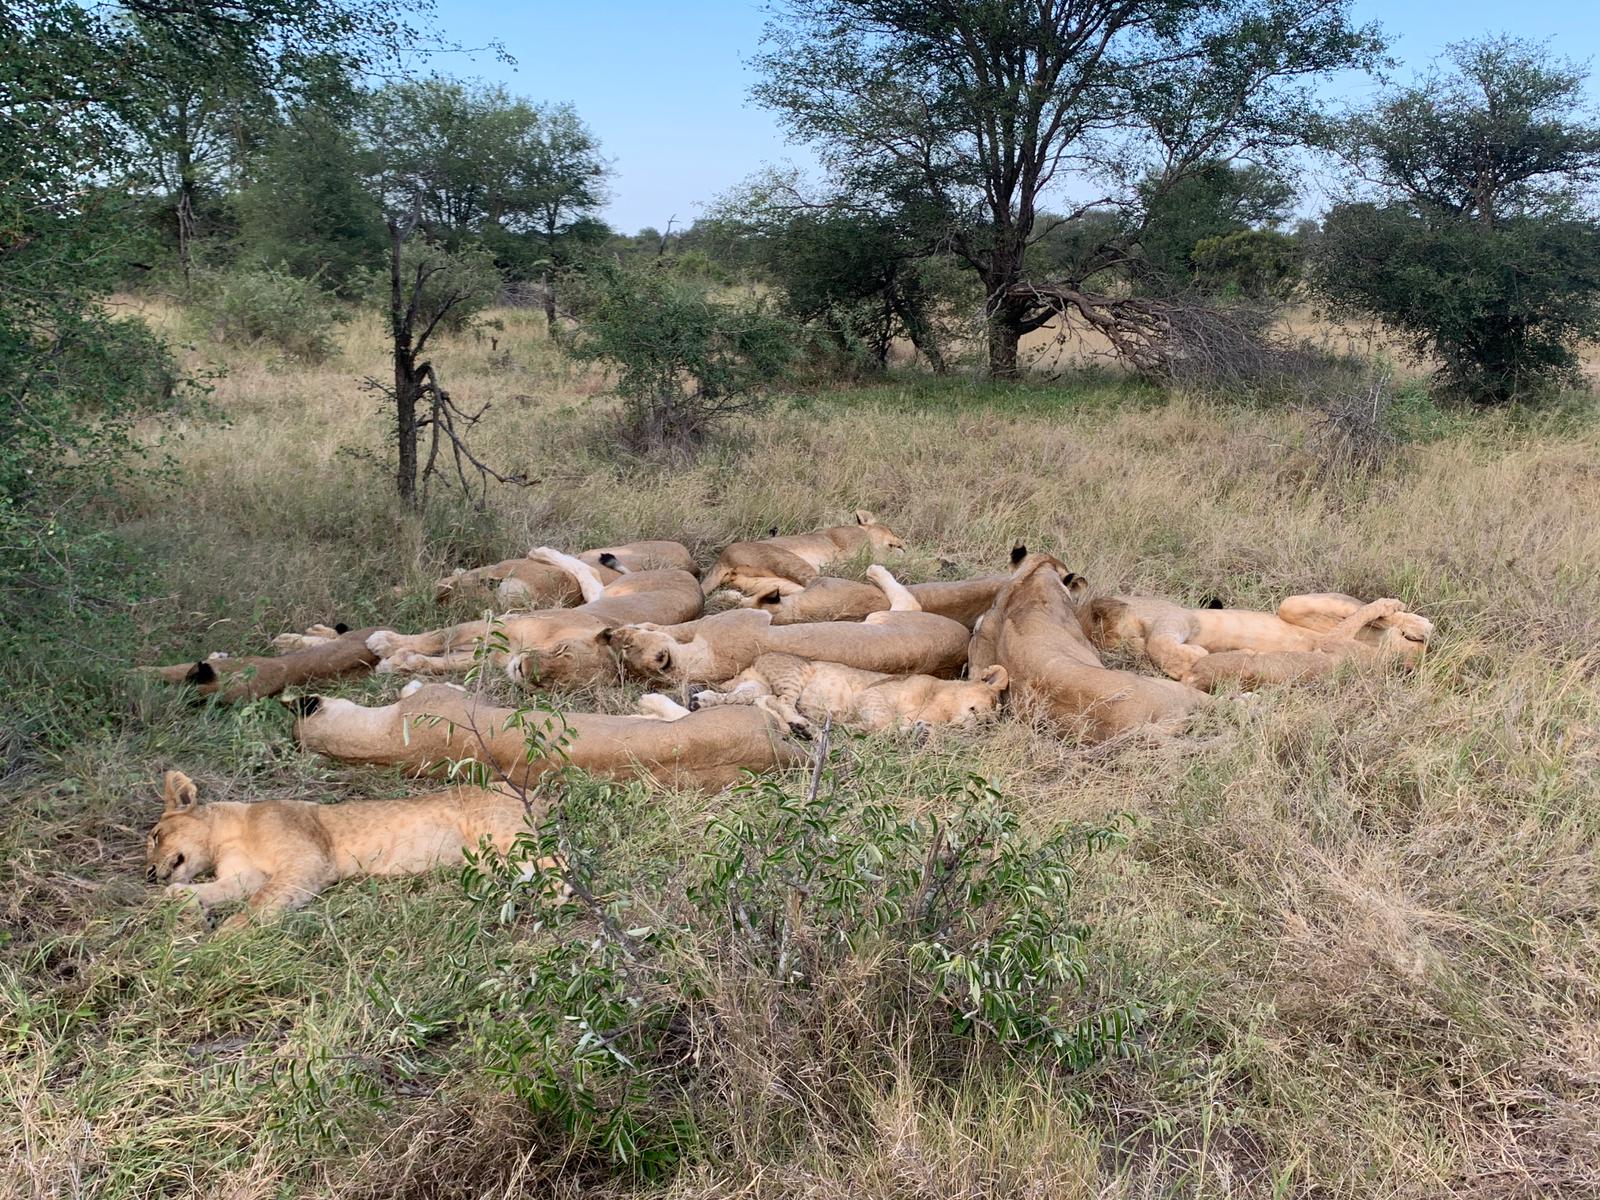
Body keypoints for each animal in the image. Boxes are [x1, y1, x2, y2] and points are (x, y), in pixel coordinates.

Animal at [146, 769, 554, 932]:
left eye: (155, 835)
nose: (149, 873)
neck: (227, 838)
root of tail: (528, 791)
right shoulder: (246, 874)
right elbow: (218, 890)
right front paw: (181, 899)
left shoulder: (308, 861)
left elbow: (258, 903)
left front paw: (225, 936)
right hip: (490, 855)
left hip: (501, 831)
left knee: (554, 858)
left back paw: (556, 894)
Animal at [367, 551, 703, 687]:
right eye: (561, 650)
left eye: (559, 681)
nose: (523, 670)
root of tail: (690, 577)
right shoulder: (498, 625)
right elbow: (437, 636)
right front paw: (384, 642)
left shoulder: (491, 655)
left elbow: (440, 662)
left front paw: (397, 663)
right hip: (615, 589)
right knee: (588, 572)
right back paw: (541, 551)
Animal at [609, 565, 970, 686]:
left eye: (628, 645)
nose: (612, 634)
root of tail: (961, 643)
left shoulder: (727, 623)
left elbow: (682, 625)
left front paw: (642, 622)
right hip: (889, 617)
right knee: (909, 601)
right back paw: (874, 569)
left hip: (888, 617)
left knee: (910, 600)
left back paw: (874, 569)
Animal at [691, 653, 1009, 735]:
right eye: (994, 703)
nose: (988, 723)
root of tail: (753, 663)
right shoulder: (871, 695)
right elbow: (883, 720)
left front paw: (917, 732)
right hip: (795, 673)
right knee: (780, 701)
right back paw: (803, 726)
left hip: (755, 686)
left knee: (754, 699)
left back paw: (701, 700)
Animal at [700, 511, 907, 598]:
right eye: (891, 530)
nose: (905, 543)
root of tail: (721, 558)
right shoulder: (856, 551)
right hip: (786, 559)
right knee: (817, 583)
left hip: (764, 581)